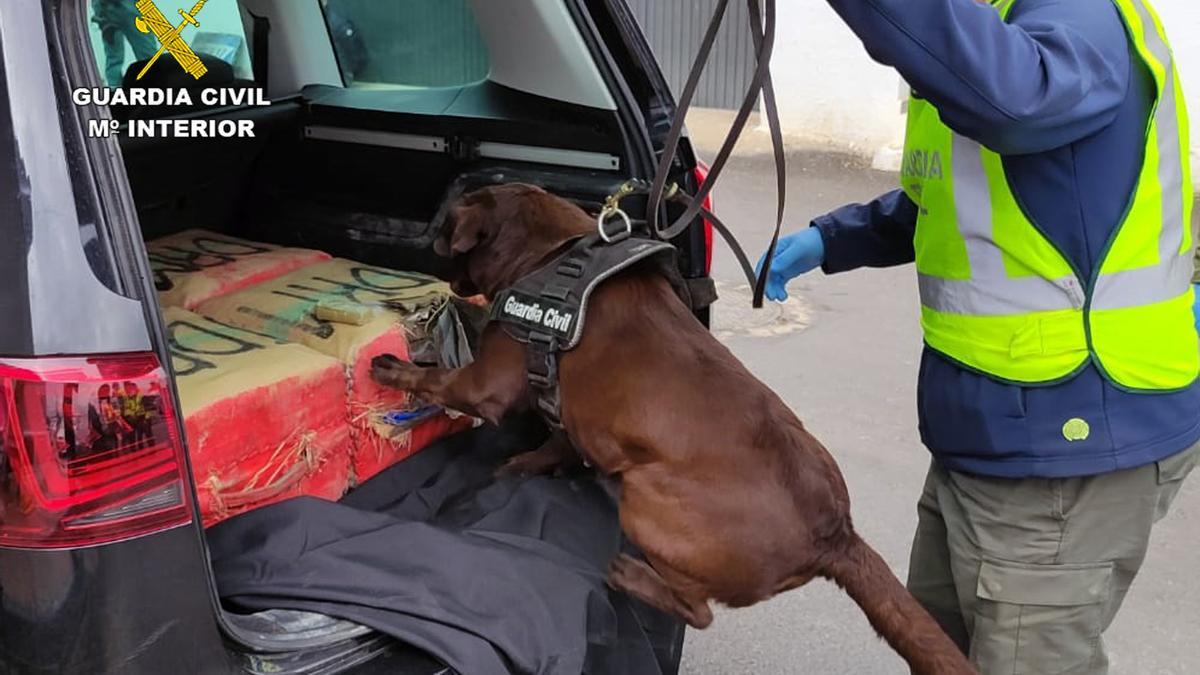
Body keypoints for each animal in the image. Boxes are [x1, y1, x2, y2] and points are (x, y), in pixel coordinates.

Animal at [374, 182, 974, 672]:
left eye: (446, 231)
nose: (433, 264)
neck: (553, 252)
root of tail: (835, 532)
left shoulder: (488, 383)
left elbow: (439, 379)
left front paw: (394, 369)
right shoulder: (568, 409)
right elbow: (556, 440)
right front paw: (525, 465)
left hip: (645, 499)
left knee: (699, 610)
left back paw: (632, 576)